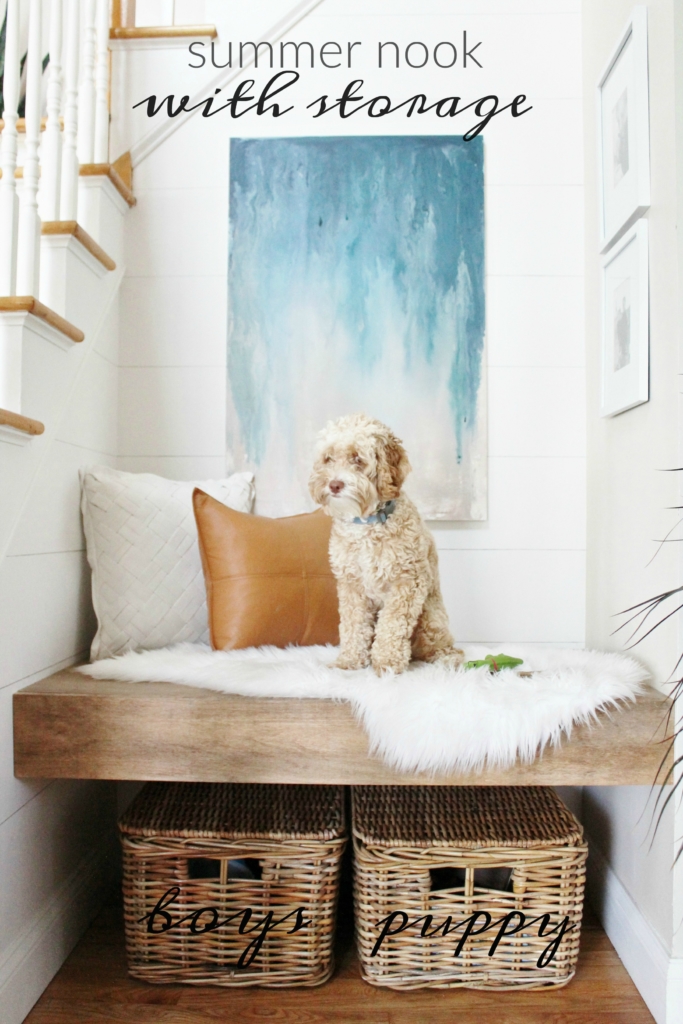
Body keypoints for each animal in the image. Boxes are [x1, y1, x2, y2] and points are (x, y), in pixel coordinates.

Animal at [311, 411, 464, 675]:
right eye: (328, 458)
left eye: (357, 458)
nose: (334, 485)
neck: (367, 523)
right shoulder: (351, 586)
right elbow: (353, 625)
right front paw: (350, 661)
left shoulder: (408, 582)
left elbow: (392, 625)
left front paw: (387, 664)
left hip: (430, 618)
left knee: (441, 648)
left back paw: (447, 660)